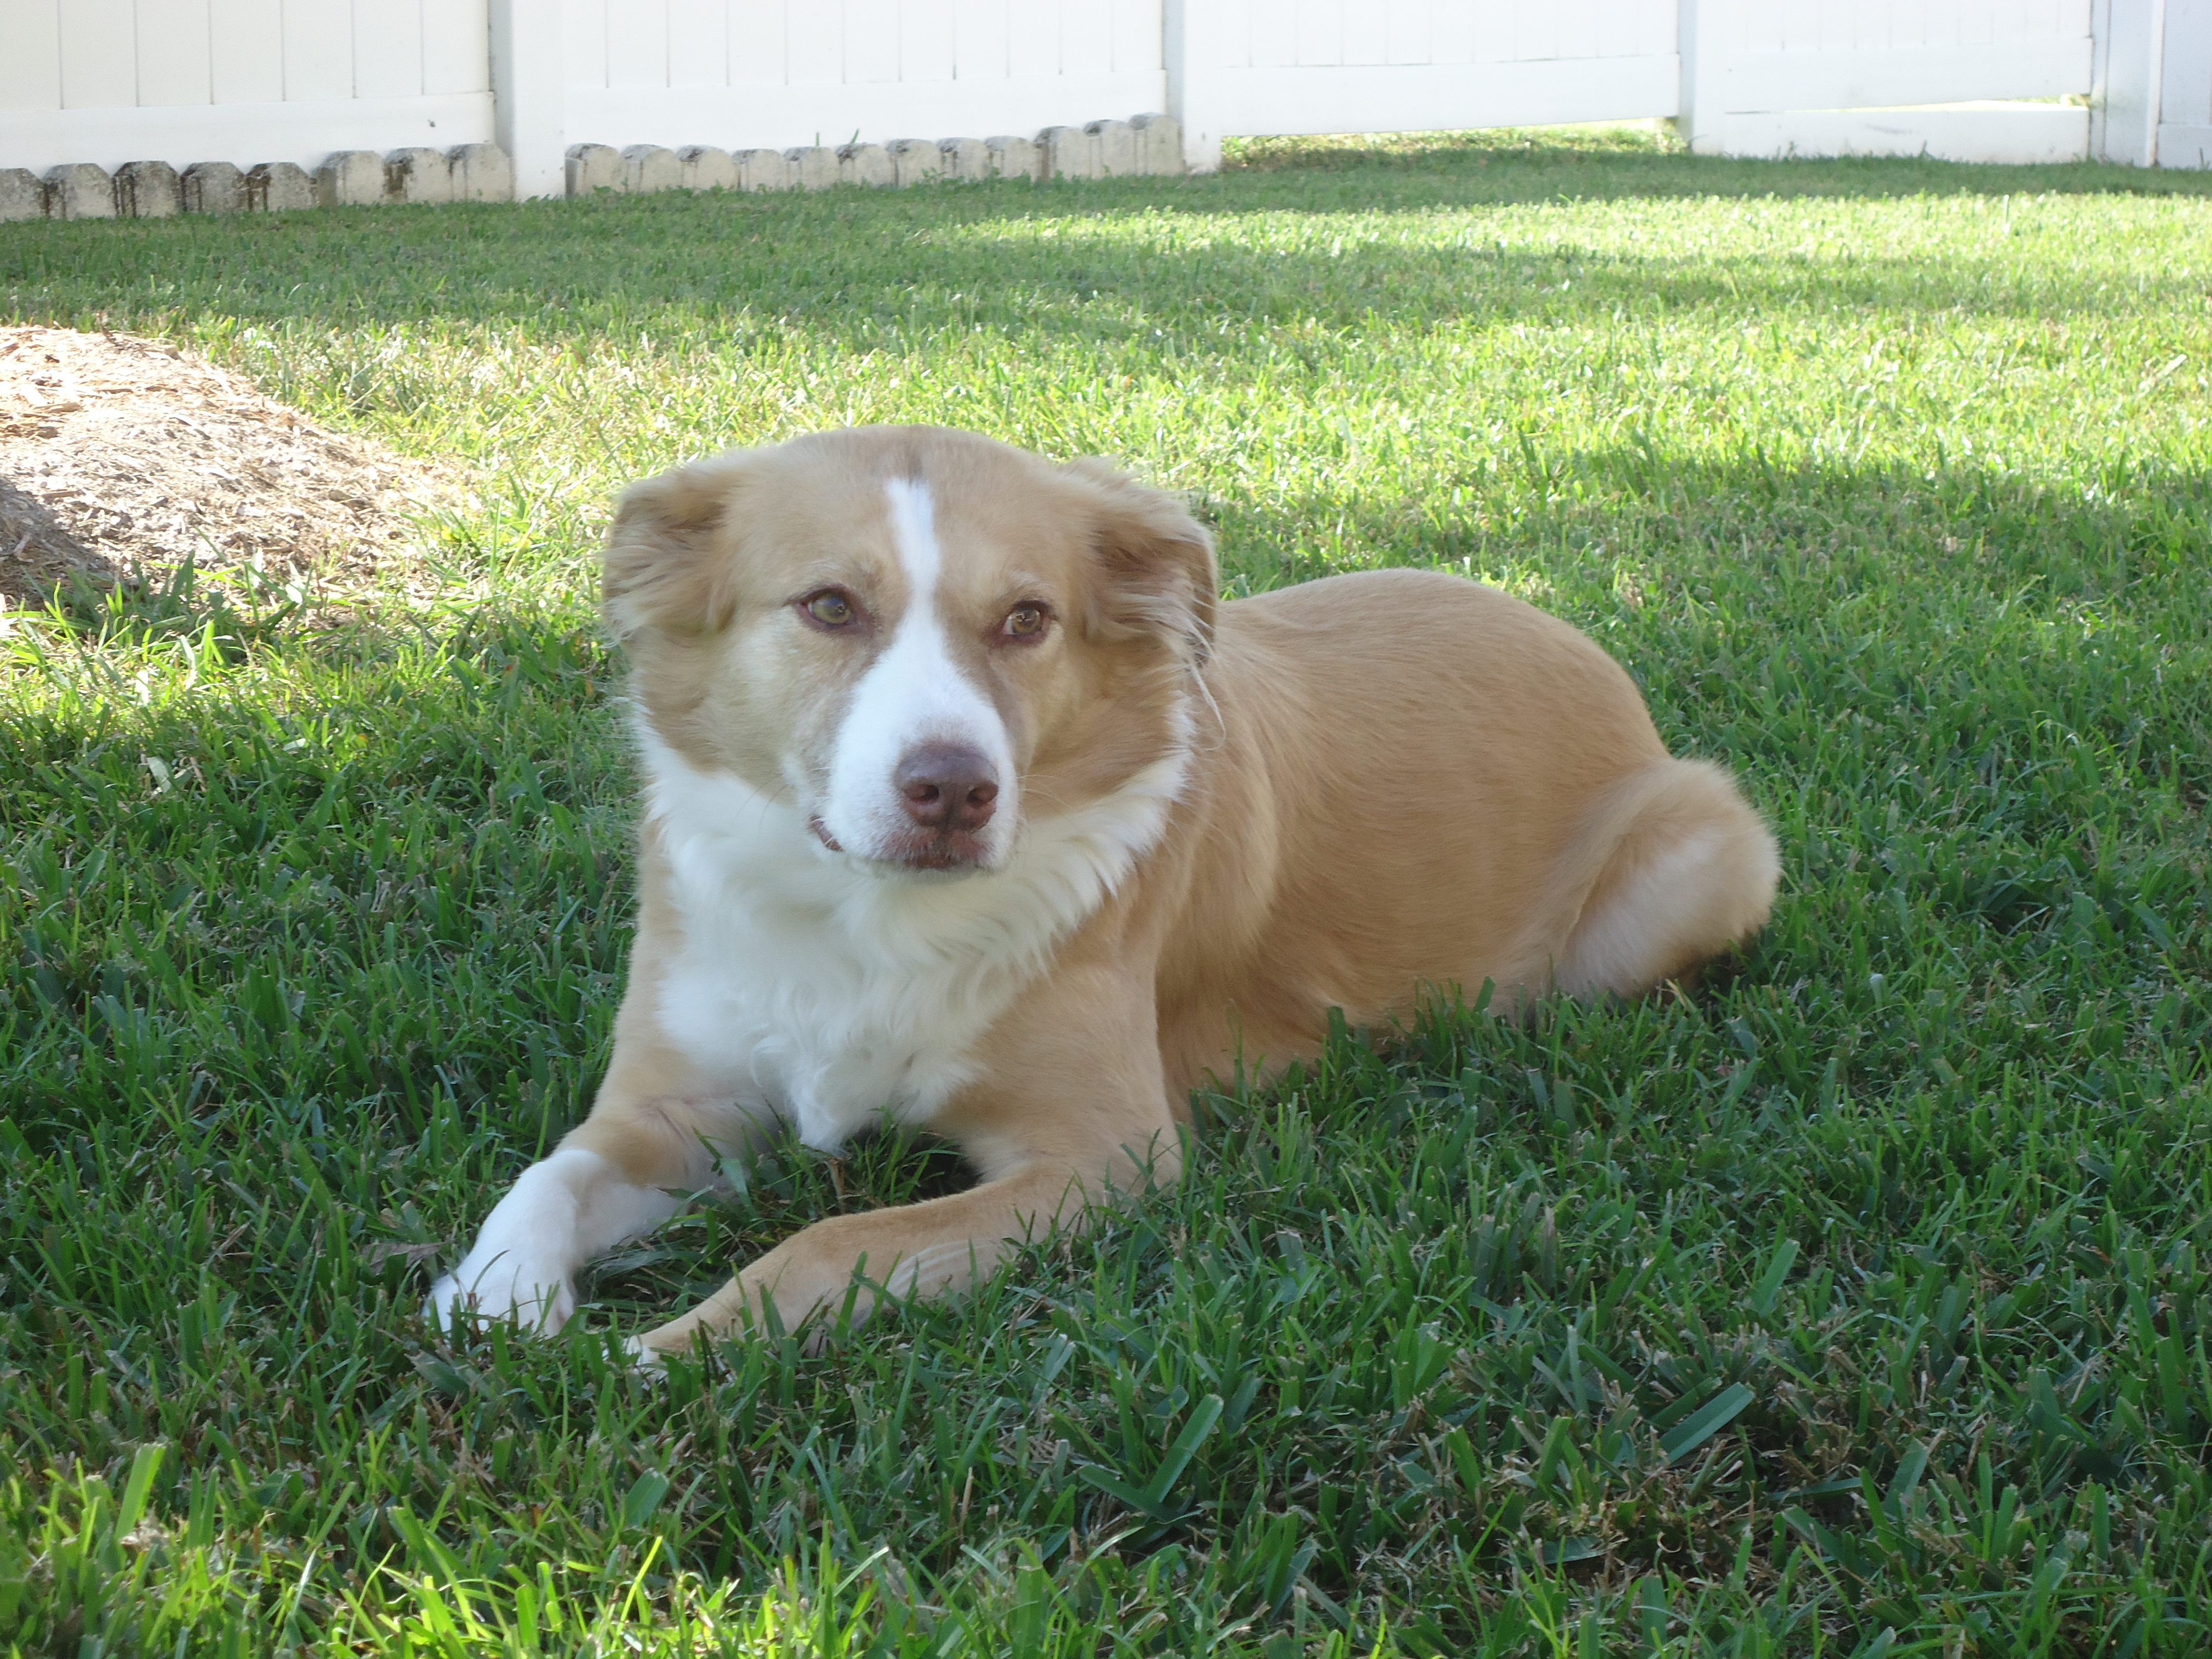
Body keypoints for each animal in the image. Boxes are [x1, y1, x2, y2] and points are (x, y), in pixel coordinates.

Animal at [428, 426, 1779, 1358]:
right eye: (829, 605)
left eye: (1028, 619)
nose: (953, 790)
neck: (867, 917)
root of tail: (1576, 634)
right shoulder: (680, 1101)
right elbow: (547, 1174)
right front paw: (497, 1295)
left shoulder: (1103, 1157)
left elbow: (834, 1239)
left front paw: (666, 1348)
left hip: (1708, 845)